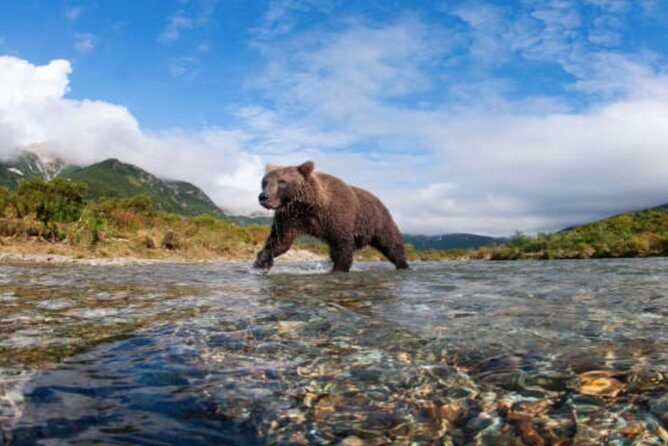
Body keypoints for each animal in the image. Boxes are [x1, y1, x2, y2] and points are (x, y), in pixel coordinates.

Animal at [253, 161, 408, 272]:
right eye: (265, 182)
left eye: (282, 182)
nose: (264, 197)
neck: (307, 205)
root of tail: (378, 199)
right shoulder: (290, 218)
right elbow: (280, 241)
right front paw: (261, 262)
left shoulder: (338, 215)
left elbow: (343, 245)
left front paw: (339, 269)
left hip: (378, 220)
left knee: (391, 243)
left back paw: (403, 265)